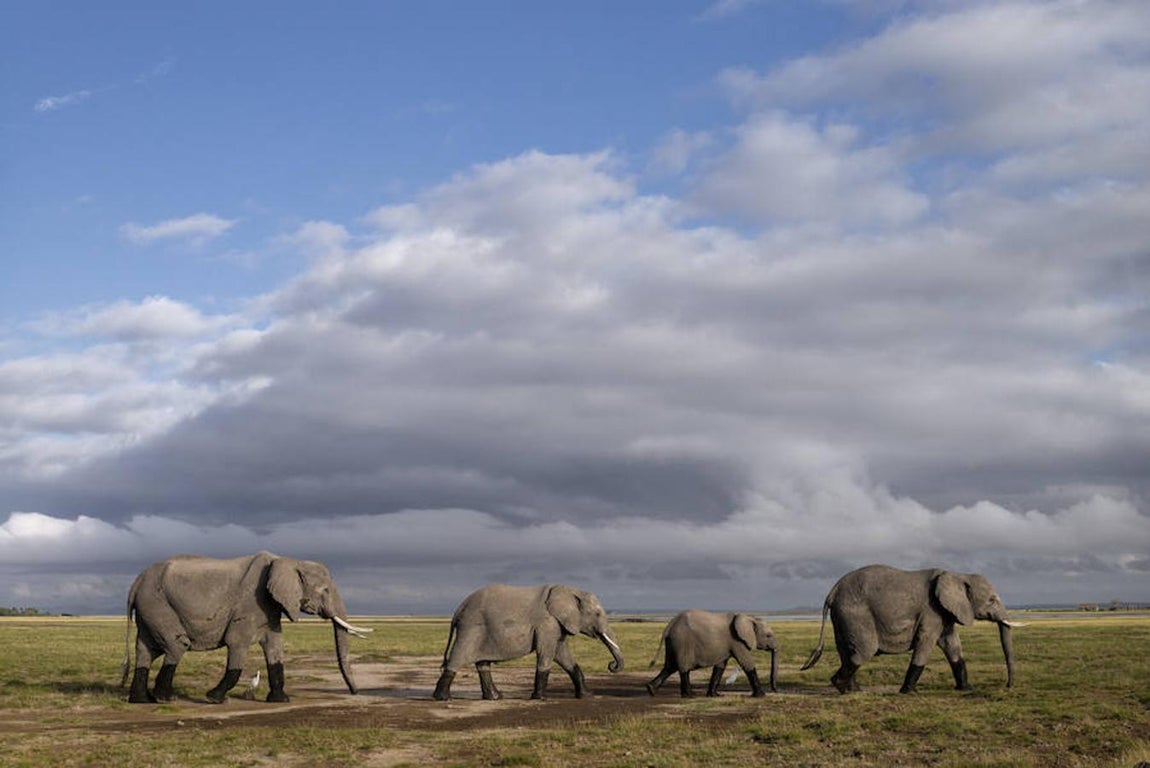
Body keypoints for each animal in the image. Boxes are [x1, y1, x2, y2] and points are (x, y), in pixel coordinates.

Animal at [120, 551, 371, 703]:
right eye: (325, 590)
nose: (355, 692)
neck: (288, 561)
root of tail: (135, 583)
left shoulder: (270, 608)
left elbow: (275, 647)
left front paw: (280, 700)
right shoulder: (250, 603)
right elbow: (237, 643)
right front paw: (214, 698)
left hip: (150, 609)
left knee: (145, 650)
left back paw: (142, 700)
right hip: (157, 604)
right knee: (176, 644)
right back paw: (164, 698)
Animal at [432, 583, 625, 701]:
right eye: (598, 614)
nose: (611, 665)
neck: (571, 590)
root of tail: (458, 609)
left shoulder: (557, 624)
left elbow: (563, 656)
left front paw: (587, 695)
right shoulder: (547, 623)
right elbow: (546, 654)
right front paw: (539, 698)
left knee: (483, 664)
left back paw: (495, 697)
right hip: (471, 628)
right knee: (458, 657)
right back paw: (442, 698)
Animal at [645, 610, 778, 698]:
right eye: (768, 635)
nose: (775, 690)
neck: (749, 617)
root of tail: (670, 624)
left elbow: (720, 666)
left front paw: (715, 695)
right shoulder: (737, 641)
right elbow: (747, 662)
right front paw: (761, 695)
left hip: (673, 641)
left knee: (669, 667)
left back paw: (651, 690)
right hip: (682, 642)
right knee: (683, 668)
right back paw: (690, 695)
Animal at [801, 564, 1021, 694]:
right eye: (992, 600)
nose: (1008, 685)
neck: (957, 574)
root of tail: (832, 590)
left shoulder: (944, 612)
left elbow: (952, 645)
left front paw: (967, 689)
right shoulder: (931, 610)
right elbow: (926, 642)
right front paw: (909, 692)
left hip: (842, 616)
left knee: (848, 652)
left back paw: (855, 689)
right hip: (855, 613)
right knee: (864, 651)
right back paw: (843, 688)